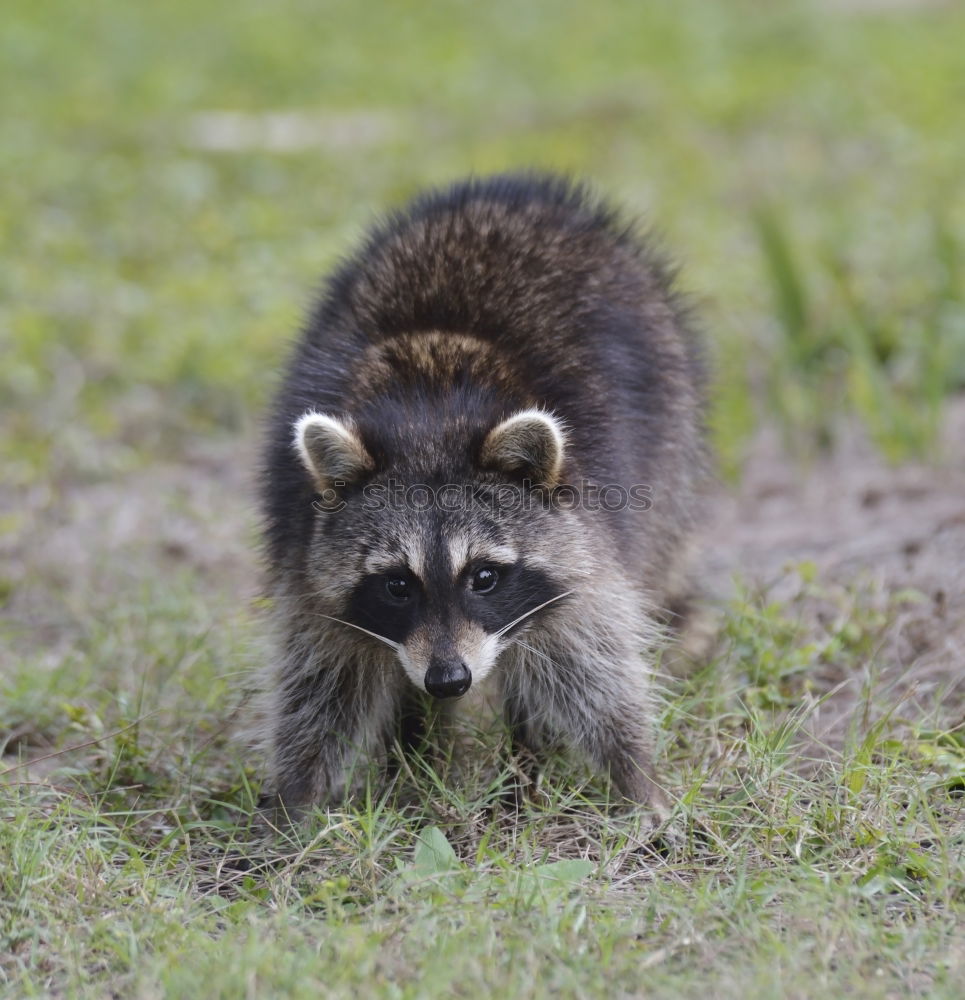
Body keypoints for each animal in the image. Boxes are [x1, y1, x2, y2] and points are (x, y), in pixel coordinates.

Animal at [258, 174, 700, 820]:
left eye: (485, 577)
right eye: (397, 585)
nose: (449, 680)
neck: (429, 418)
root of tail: (517, 191)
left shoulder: (588, 534)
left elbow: (592, 662)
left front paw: (637, 778)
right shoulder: (304, 552)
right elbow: (321, 682)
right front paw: (297, 802)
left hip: (669, 434)